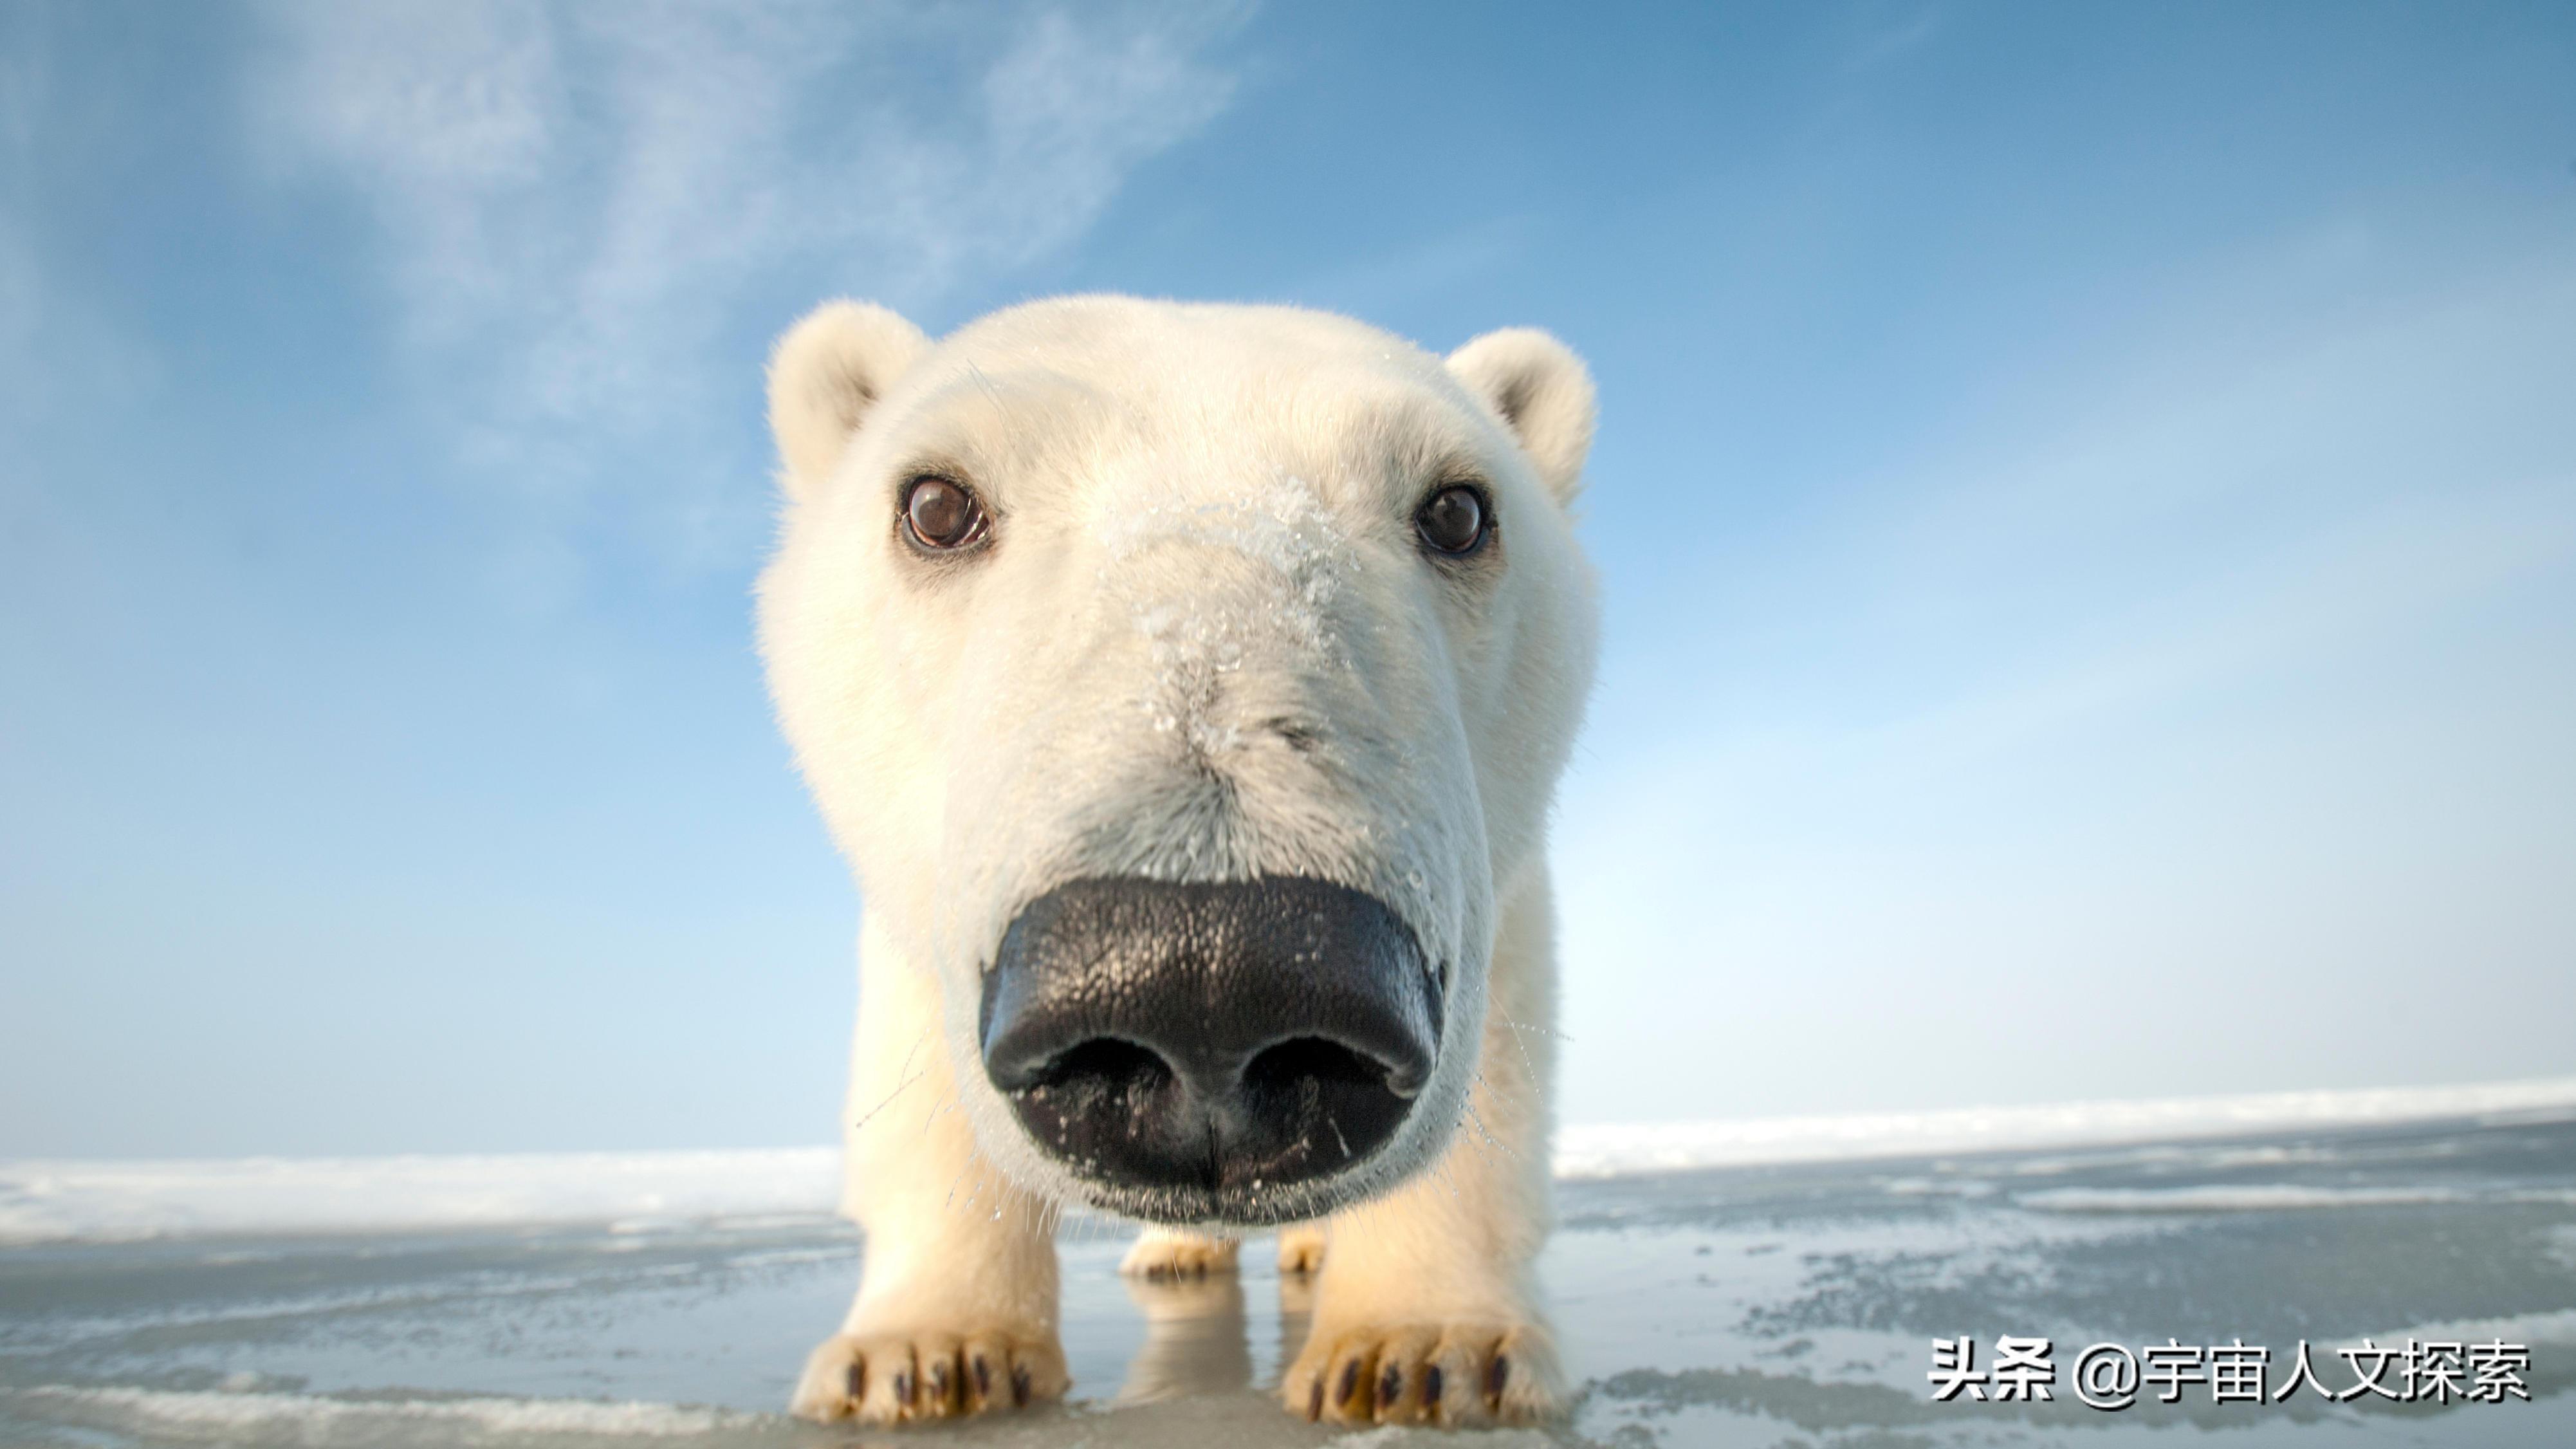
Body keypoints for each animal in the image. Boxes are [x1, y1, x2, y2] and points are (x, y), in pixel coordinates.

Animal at [752, 296, 1597, 1423]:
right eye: (934, 504)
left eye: (1459, 511)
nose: (1207, 978)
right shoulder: (916, 888)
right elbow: (915, 1066)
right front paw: (924, 1351)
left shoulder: (1501, 887)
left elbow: (1496, 1058)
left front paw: (1426, 1347)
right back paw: (1174, 1253)